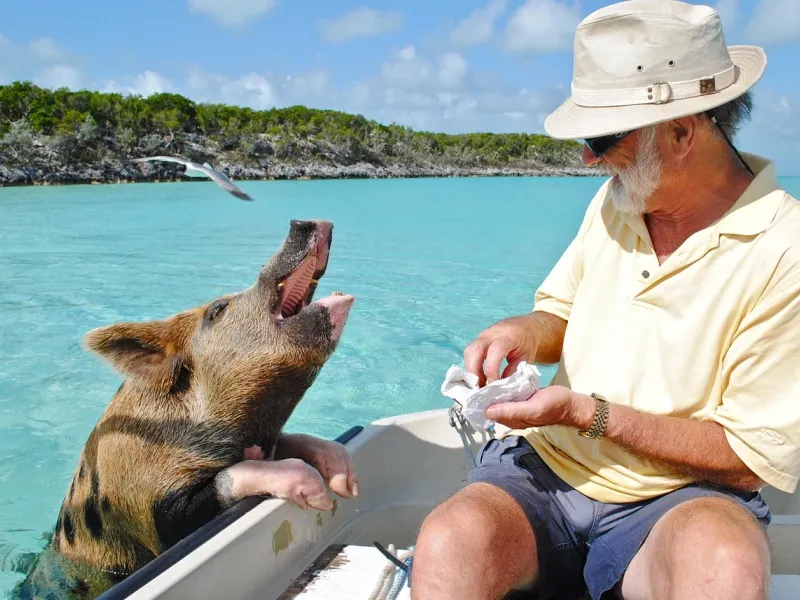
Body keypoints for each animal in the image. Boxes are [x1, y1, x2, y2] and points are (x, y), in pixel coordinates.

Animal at [13, 219, 357, 600]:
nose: (303, 222)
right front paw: (317, 493)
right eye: (217, 309)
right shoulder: (154, 511)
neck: (246, 430)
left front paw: (346, 480)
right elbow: (219, 485)